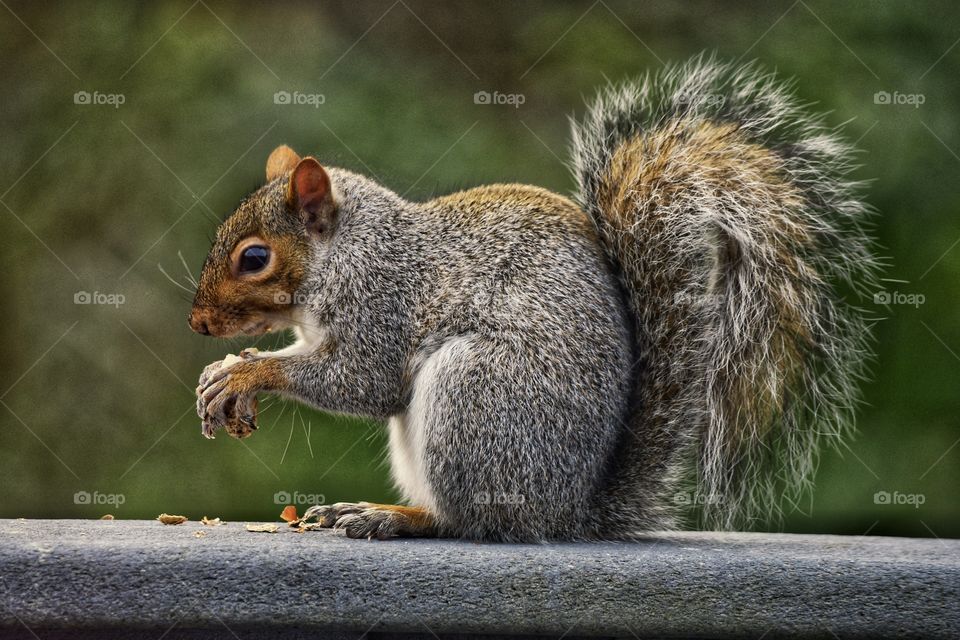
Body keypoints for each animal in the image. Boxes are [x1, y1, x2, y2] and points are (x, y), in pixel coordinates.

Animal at [190, 58, 877, 541]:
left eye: (254, 258)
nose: (198, 323)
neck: (348, 254)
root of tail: (567, 511)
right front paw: (224, 373)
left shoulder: (383, 302)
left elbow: (362, 381)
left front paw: (248, 373)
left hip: (476, 395)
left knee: (474, 522)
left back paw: (399, 517)